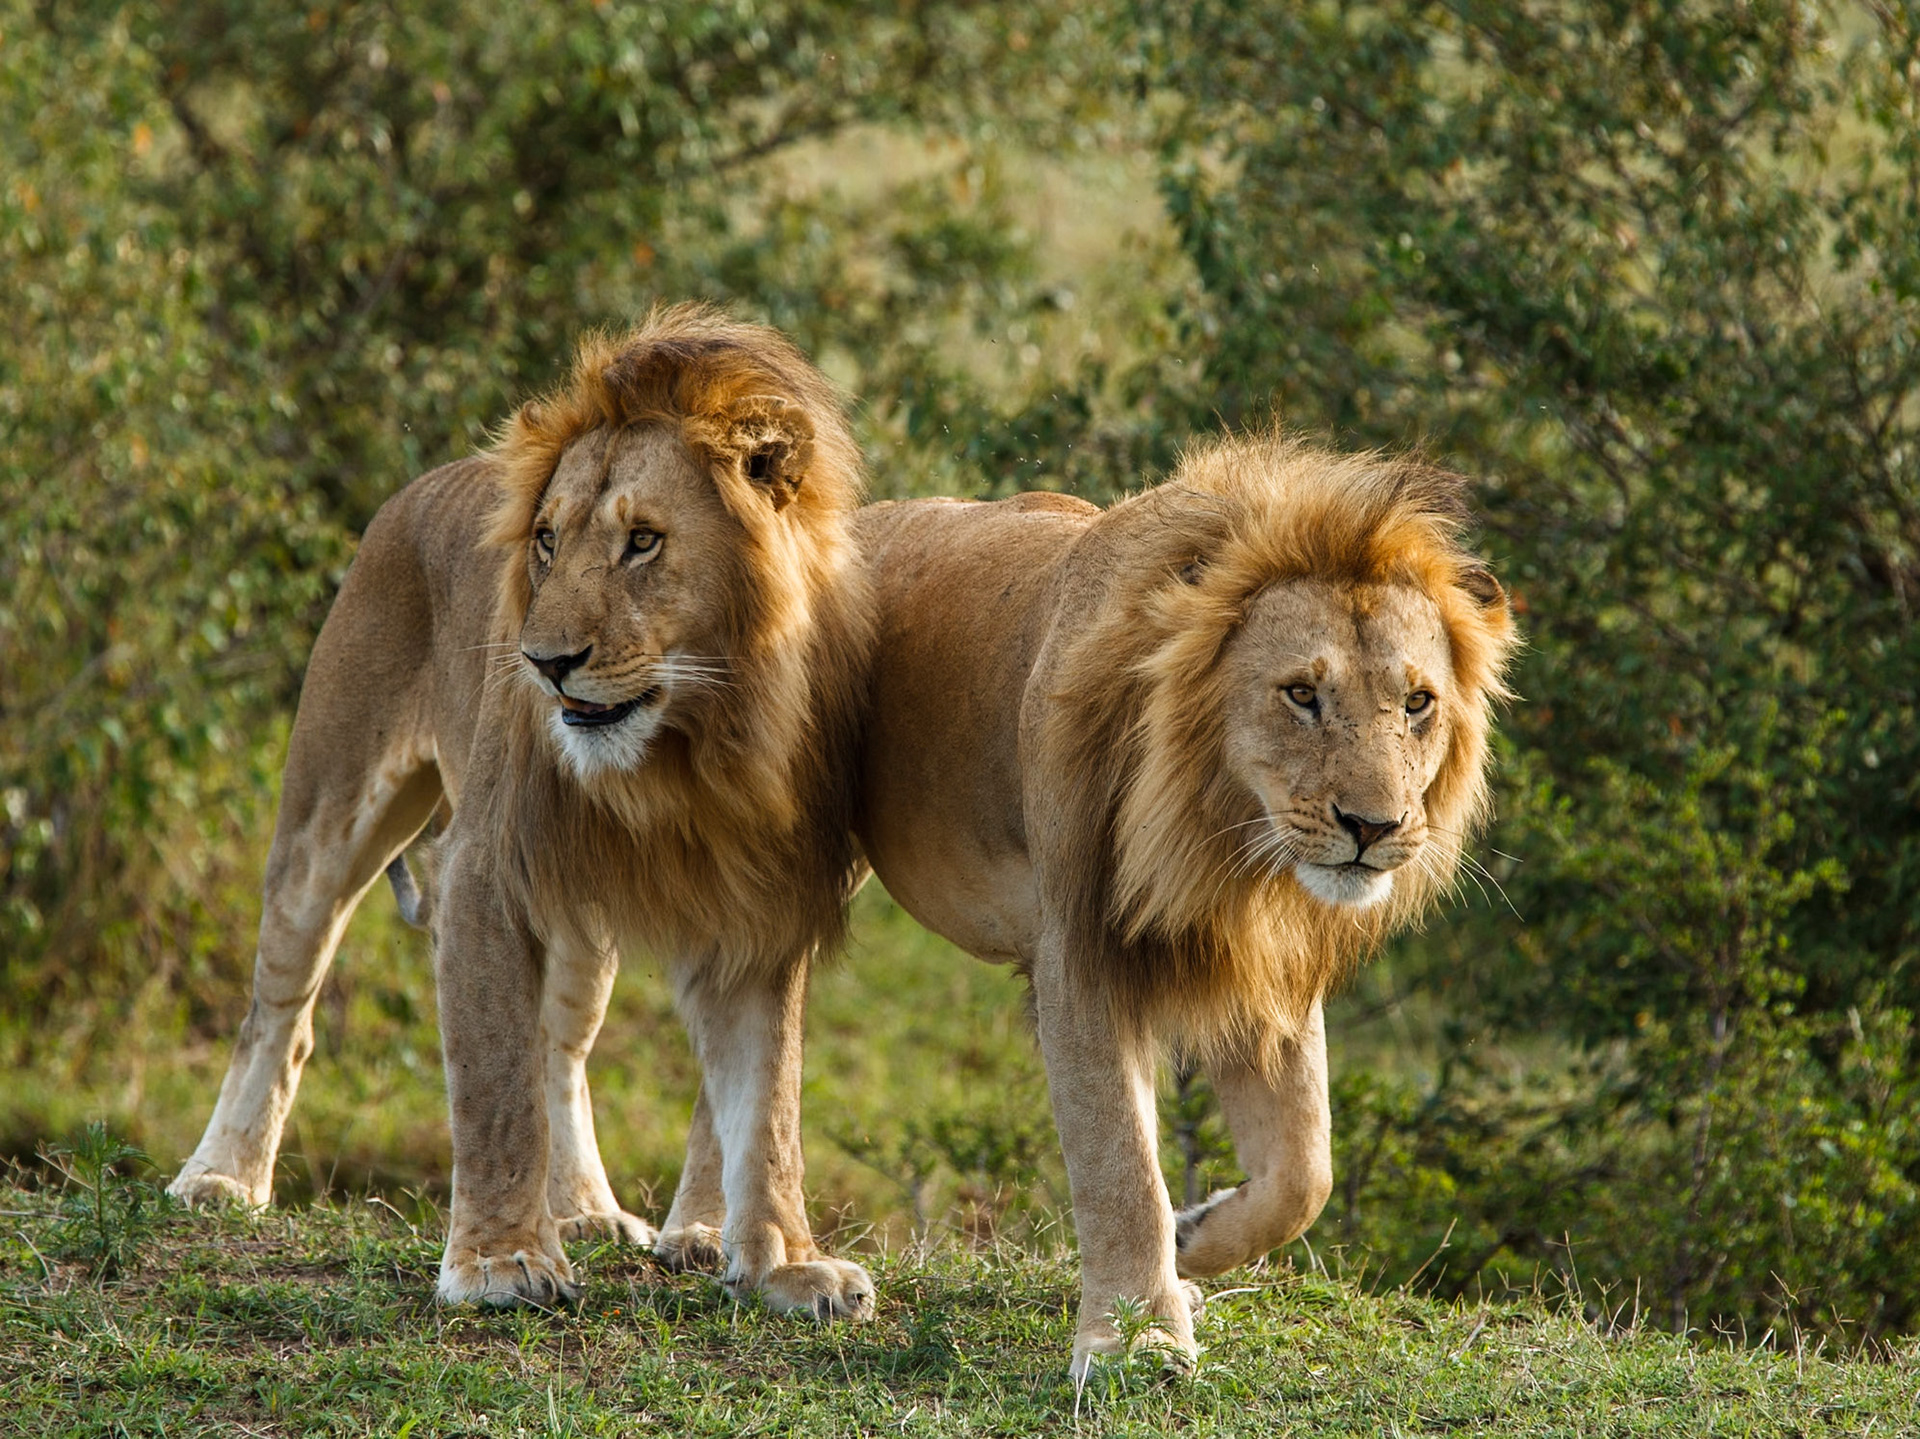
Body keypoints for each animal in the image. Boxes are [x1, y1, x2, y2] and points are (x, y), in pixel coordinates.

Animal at [169, 305, 878, 1320]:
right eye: (546, 541)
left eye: (643, 542)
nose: (545, 662)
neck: (687, 754)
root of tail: (419, 484)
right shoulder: (484, 873)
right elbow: (494, 1080)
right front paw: (501, 1260)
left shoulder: (754, 910)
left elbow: (764, 1101)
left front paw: (786, 1262)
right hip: (325, 818)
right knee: (282, 1008)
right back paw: (221, 1177)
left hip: (580, 926)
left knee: (561, 1047)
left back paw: (583, 1208)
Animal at [843, 434, 1515, 1372]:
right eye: (1301, 693)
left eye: (1418, 702)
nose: (1373, 826)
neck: (1227, 848)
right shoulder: (1080, 955)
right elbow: (1120, 1160)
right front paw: (1139, 1335)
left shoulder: (1262, 965)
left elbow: (1305, 1170)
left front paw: (1192, 1241)